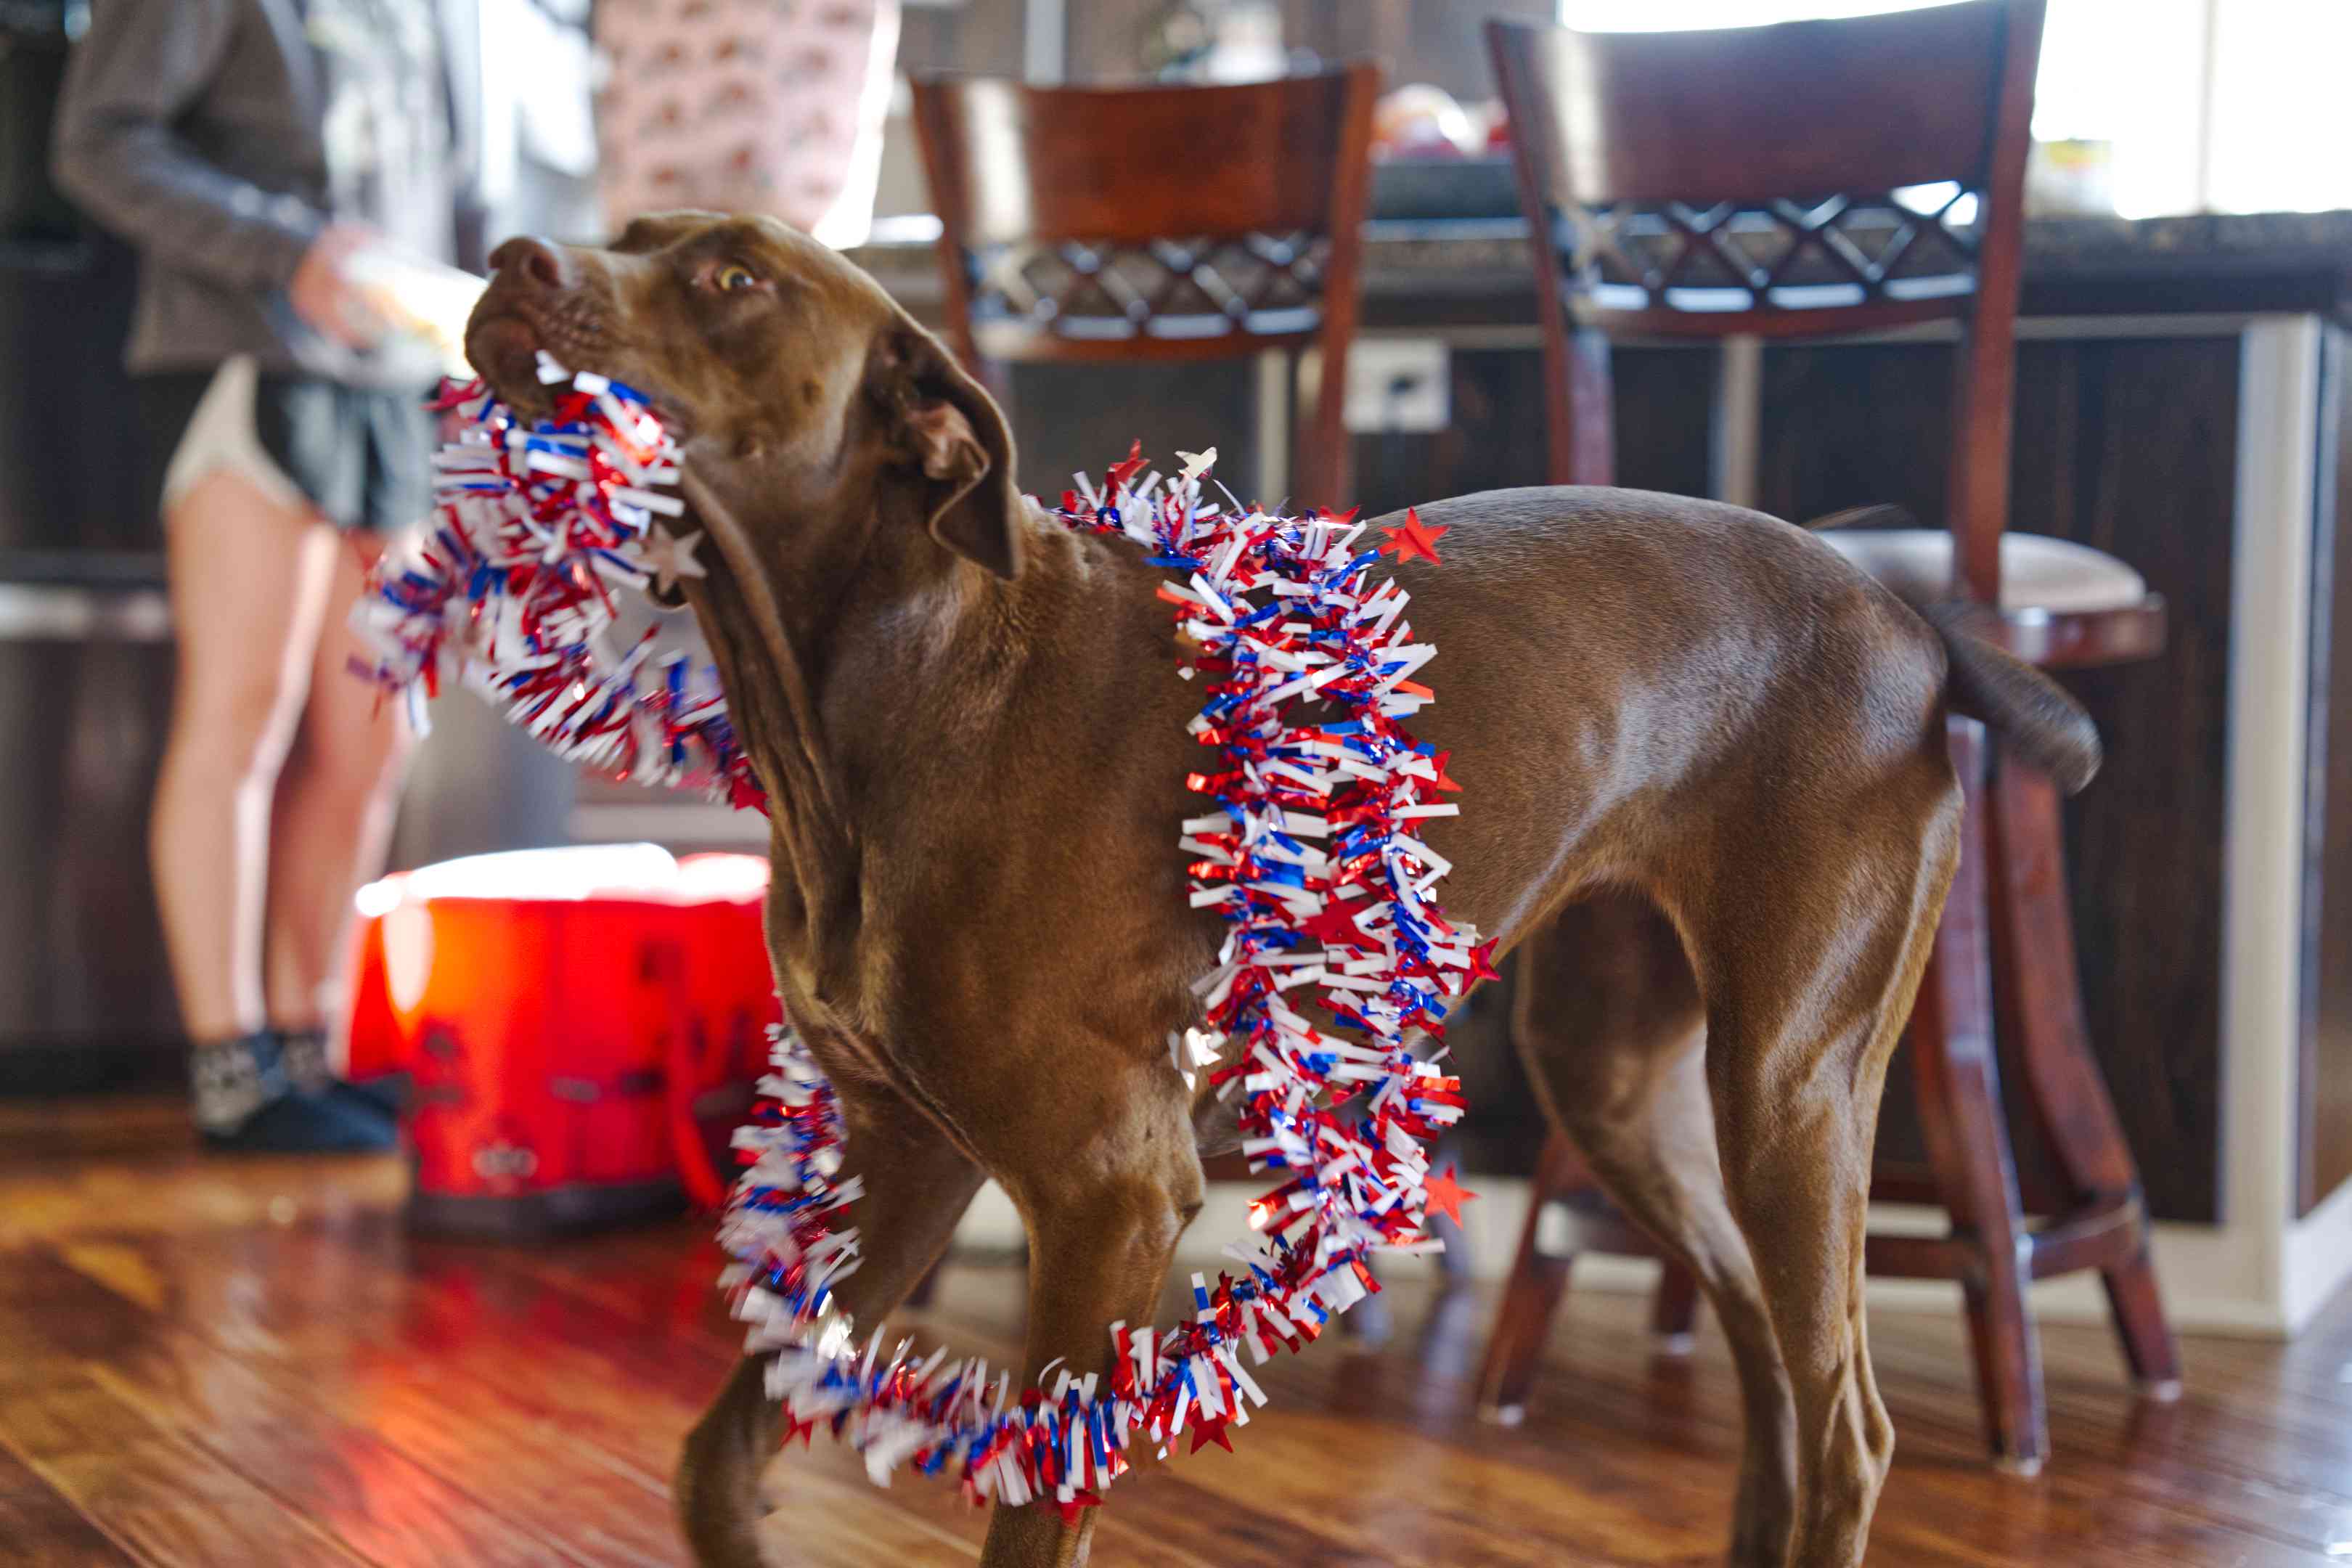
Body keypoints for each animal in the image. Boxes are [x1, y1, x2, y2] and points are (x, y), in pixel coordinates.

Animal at [467, 217, 2107, 1568]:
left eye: (733, 277)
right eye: (632, 230)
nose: (512, 261)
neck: (896, 684)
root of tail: (1908, 610)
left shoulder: (1108, 1194)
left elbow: (1033, 1506)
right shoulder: (901, 1155)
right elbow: (718, 1458)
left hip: (1789, 1090)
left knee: (1847, 1428)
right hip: (1624, 1092)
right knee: (1771, 1360)